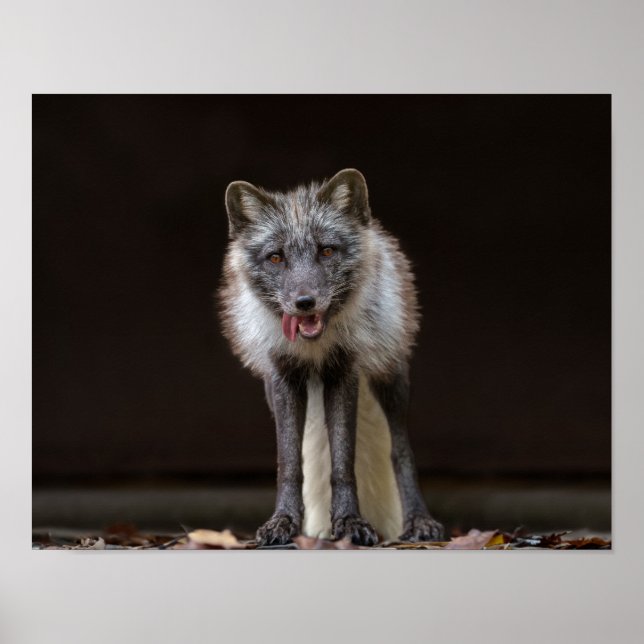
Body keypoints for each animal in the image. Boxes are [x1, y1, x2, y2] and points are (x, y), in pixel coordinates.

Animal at [219, 168, 444, 546]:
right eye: (276, 257)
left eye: (326, 251)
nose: (304, 302)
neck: (315, 349)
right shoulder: (284, 379)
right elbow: (290, 464)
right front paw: (283, 522)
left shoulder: (343, 373)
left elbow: (343, 462)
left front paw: (351, 523)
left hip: (391, 379)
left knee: (400, 451)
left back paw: (418, 521)